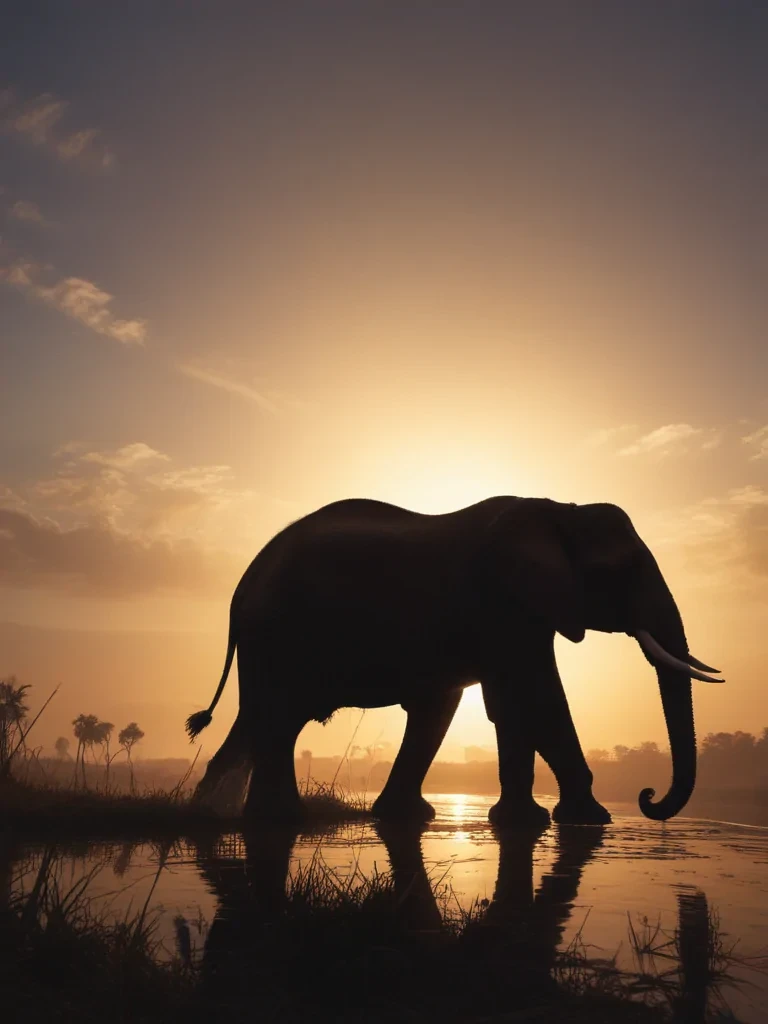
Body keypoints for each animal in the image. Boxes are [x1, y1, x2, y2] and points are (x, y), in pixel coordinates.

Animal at [185, 495, 724, 826]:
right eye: (622, 570)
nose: (647, 797)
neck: (557, 510)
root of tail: (242, 585)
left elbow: (499, 704)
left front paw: (518, 822)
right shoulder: (503, 604)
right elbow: (536, 695)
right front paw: (590, 819)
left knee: (267, 720)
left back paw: (223, 813)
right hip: (277, 634)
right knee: (274, 717)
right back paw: (271, 819)